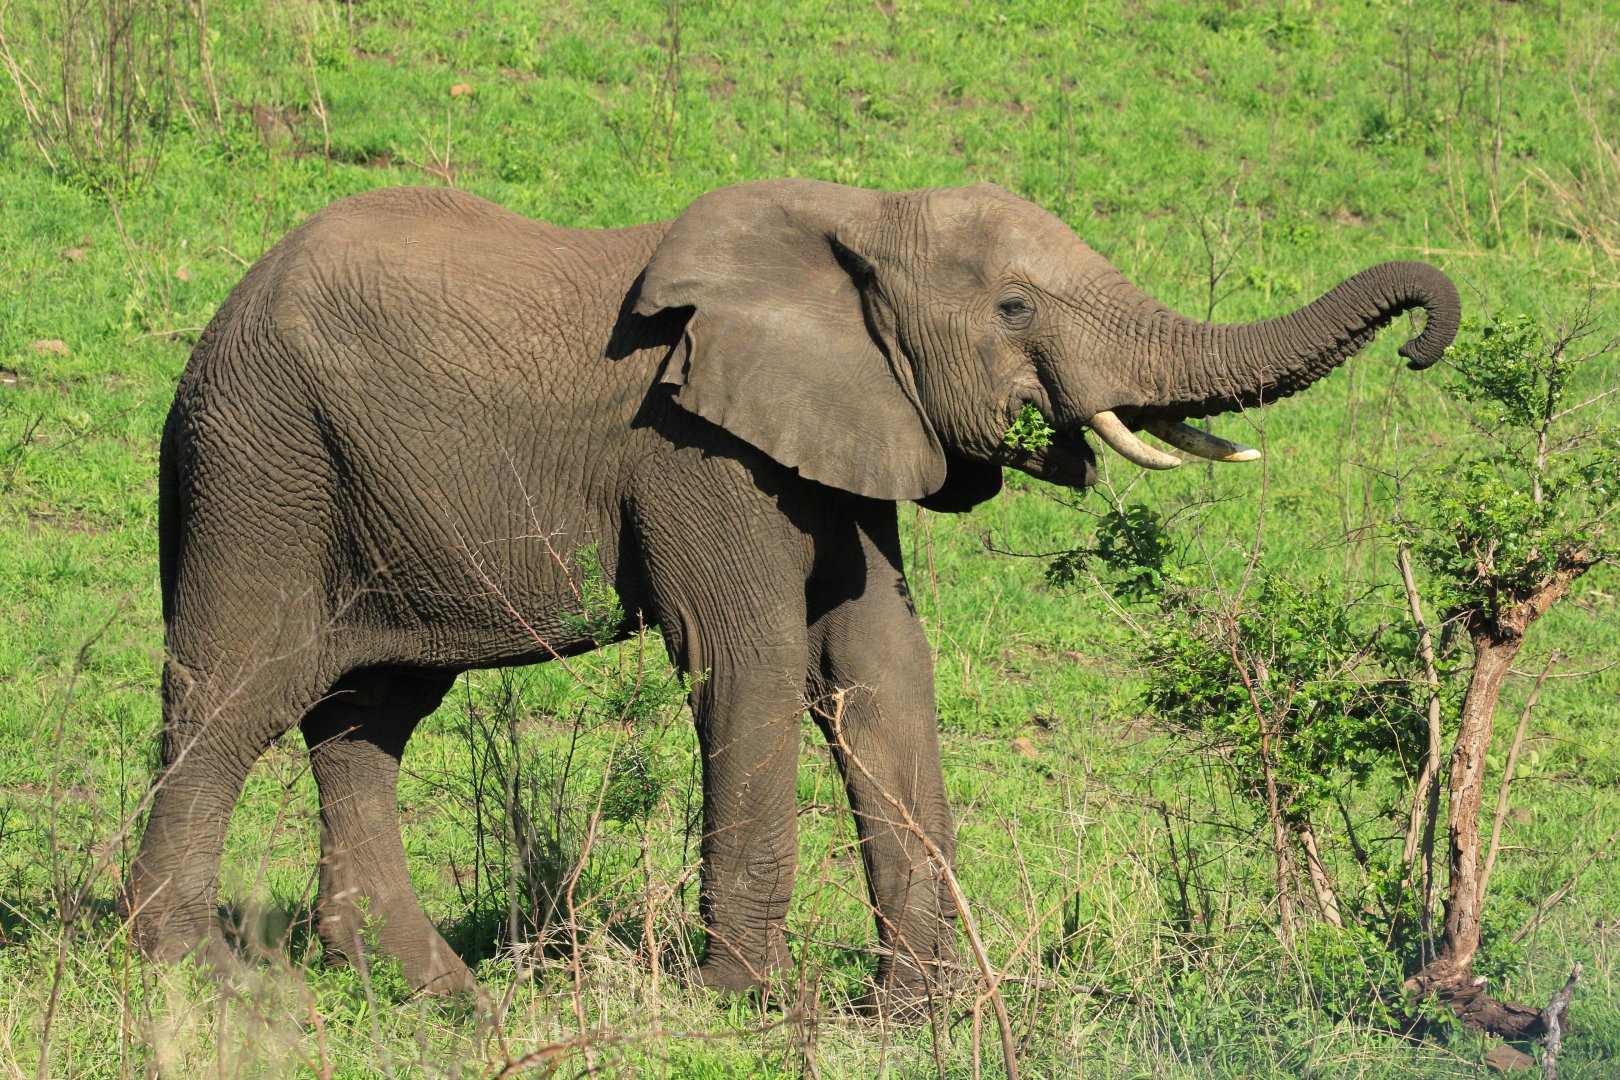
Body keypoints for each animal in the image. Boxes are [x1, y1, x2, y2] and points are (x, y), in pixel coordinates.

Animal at [124, 179, 1458, 1015]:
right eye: (1014, 306)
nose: (1420, 342)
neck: (858, 223)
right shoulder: (693, 441)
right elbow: (752, 660)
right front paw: (746, 1004)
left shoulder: (848, 422)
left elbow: (882, 665)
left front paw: (922, 1010)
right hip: (262, 468)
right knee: (234, 697)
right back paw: (195, 977)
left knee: (367, 721)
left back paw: (436, 994)